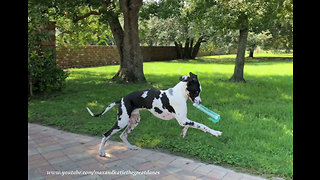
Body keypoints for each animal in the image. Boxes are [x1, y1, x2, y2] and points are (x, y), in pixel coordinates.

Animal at [87, 72, 222, 157]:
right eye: (197, 91)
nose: (200, 102)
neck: (178, 93)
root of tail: (121, 99)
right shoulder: (183, 120)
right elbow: (202, 126)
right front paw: (215, 132)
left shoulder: (183, 119)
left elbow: (190, 125)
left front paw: (183, 133)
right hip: (122, 121)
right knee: (106, 134)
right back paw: (101, 152)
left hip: (134, 121)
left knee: (123, 135)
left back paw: (131, 147)